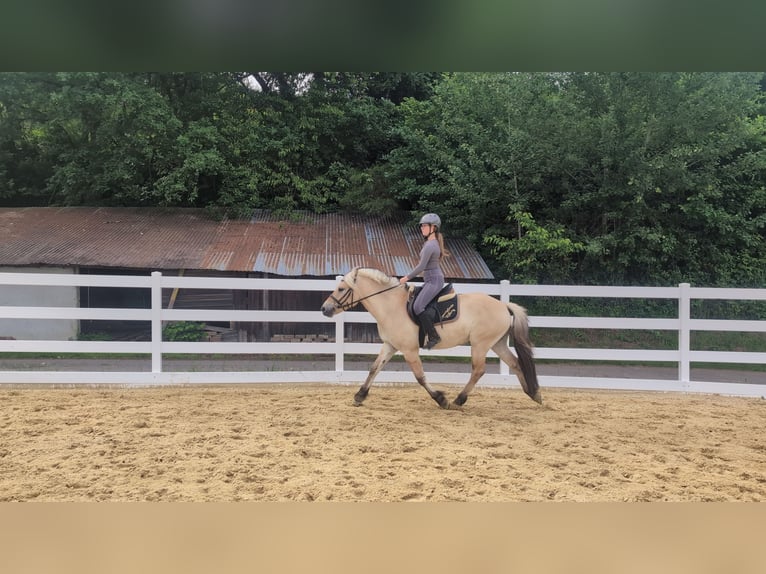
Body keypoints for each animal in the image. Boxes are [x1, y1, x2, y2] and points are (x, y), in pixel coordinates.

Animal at [320, 267, 542, 409]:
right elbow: (374, 369)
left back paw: (459, 400)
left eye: (341, 289)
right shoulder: (390, 345)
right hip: (497, 343)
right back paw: (534, 393)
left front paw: (440, 399)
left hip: (480, 344)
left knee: (478, 370)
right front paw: (359, 396)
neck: (392, 306)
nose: (324, 309)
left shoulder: (409, 350)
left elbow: (420, 377)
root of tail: (503, 305)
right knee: (515, 363)